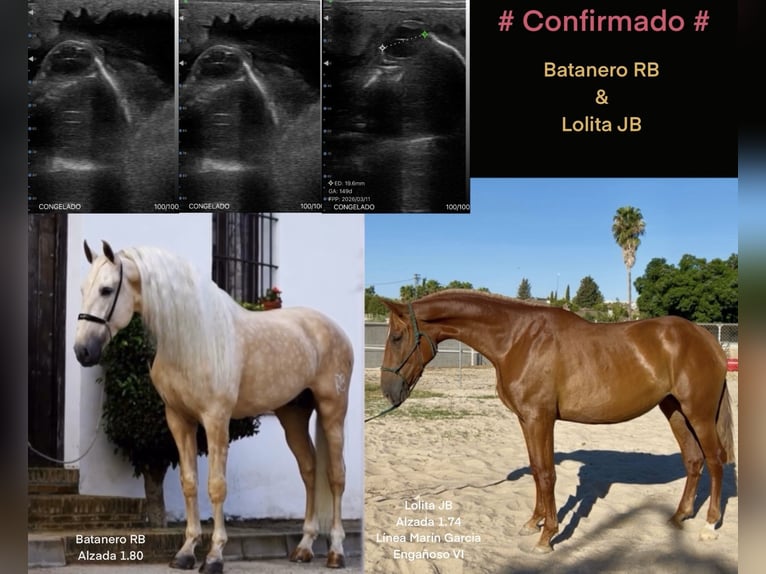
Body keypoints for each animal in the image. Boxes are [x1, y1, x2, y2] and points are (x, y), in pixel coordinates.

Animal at [74, 241, 353, 572]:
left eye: (106, 290)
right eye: (83, 288)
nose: (82, 350)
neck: (193, 340)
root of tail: (335, 330)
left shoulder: (216, 419)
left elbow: (216, 486)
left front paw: (215, 555)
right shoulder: (179, 420)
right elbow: (190, 483)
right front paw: (186, 552)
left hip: (333, 411)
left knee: (335, 475)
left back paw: (336, 551)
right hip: (293, 414)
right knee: (309, 469)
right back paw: (304, 546)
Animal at [378, 289, 735, 553]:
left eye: (396, 337)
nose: (388, 391)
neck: (518, 339)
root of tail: (708, 339)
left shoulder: (541, 418)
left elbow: (548, 474)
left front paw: (547, 536)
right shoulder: (527, 420)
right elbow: (537, 470)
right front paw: (532, 523)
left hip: (699, 413)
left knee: (715, 460)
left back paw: (709, 526)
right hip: (674, 410)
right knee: (693, 460)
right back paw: (678, 517)